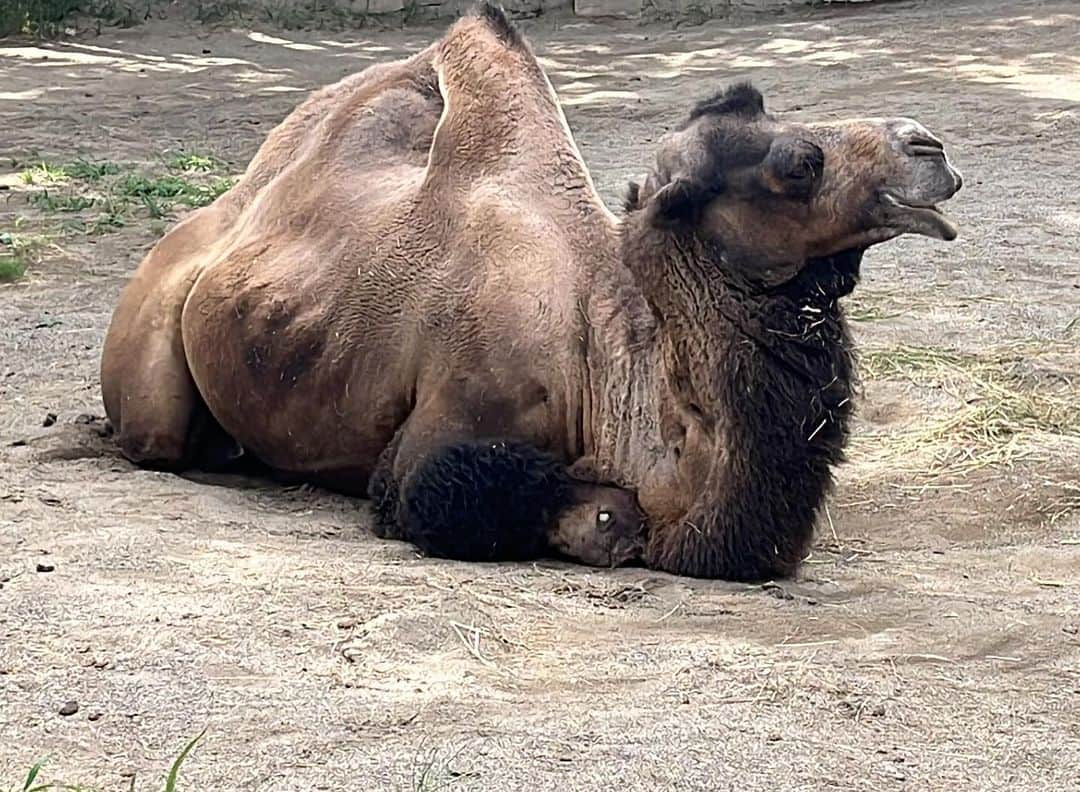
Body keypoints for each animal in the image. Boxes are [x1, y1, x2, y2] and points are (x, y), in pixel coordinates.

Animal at [101, 3, 963, 579]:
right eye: (796, 164)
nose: (931, 147)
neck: (609, 378)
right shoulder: (447, 428)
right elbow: (545, 505)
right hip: (152, 366)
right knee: (156, 434)